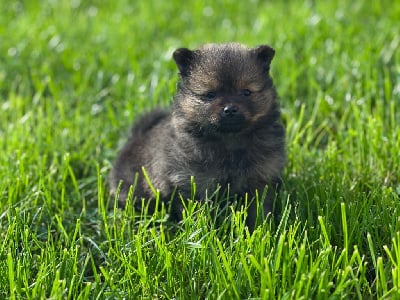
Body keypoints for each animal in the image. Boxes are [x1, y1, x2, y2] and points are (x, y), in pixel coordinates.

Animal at [108, 42, 286, 230]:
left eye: (246, 92)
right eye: (210, 95)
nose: (230, 109)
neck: (229, 141)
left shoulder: (260, 179)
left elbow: (258, 208)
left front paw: (260, 228)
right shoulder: (191, 182)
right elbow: (197, 213)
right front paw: (200, 230)